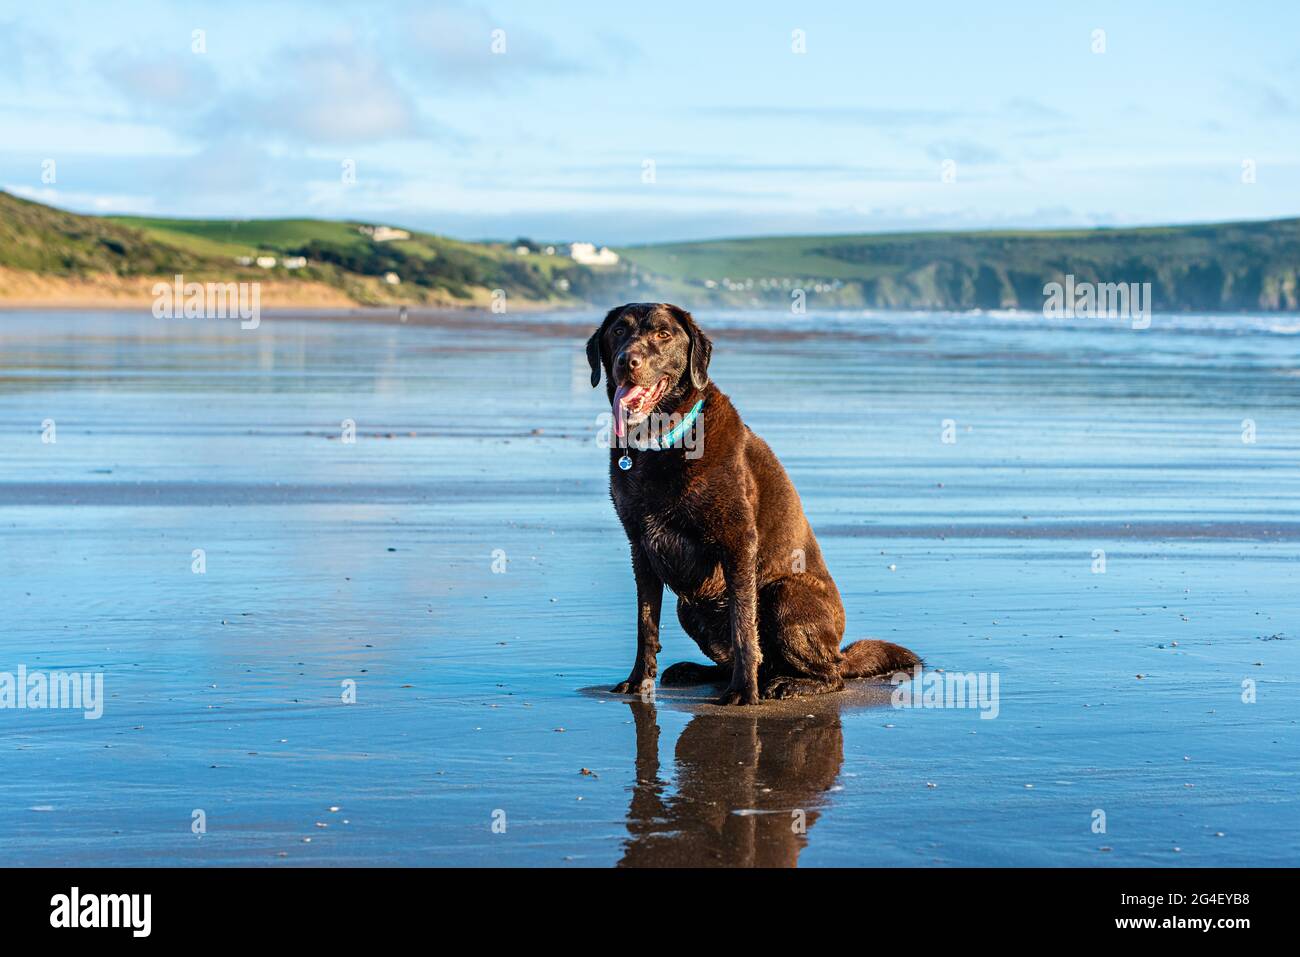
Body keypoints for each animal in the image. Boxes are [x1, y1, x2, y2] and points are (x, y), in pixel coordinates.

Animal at [585, 302, 920, 707]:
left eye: (663, 334)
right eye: (618, 331)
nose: (627, 361)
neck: (662, 440)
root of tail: (839, 650)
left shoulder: (738, 542)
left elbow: (744, 627)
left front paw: (744, 693)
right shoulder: (642, 548)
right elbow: (645, 623)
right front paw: (638, 682)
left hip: (783, 594)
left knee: (830, 675)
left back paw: (789, 684)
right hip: (689, 607)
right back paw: (697, 672)